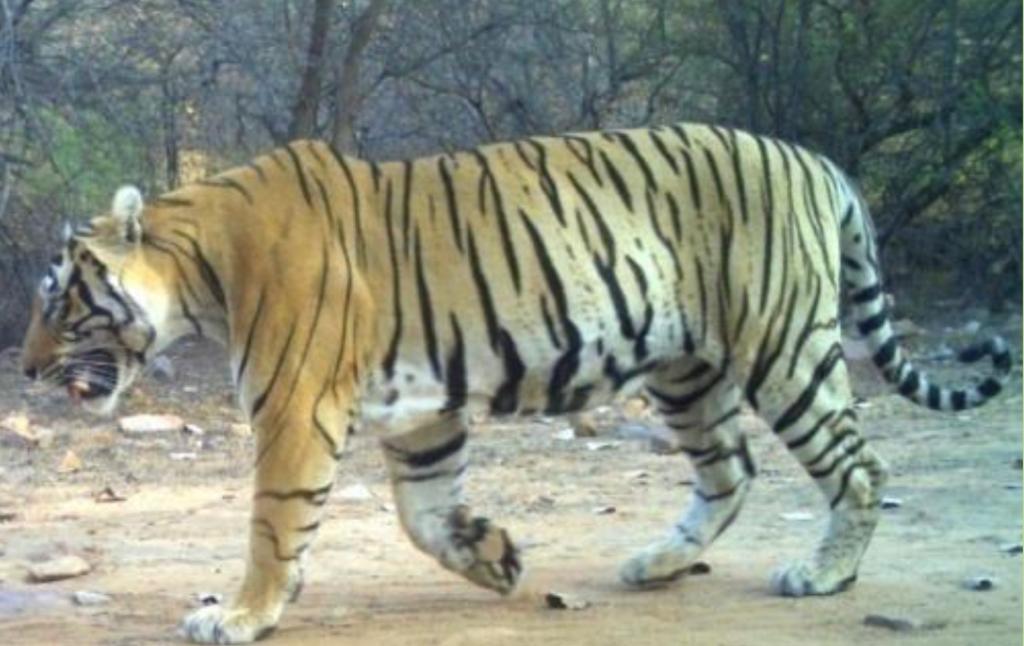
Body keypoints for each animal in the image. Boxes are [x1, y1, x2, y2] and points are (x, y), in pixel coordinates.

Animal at [21, 123, 1010, 643]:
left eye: (60, 302)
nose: (25, 371)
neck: (201, 268)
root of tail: (818, 162)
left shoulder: (296, 409)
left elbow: (274, 524)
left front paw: (240, 613)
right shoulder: (417, 411)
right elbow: (423, 516)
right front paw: (496, 558)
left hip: (782, 347)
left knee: (859, 468)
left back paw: (822, 573)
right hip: (686, 369)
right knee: (730, 471)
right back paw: (656, 561)